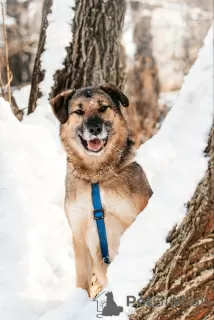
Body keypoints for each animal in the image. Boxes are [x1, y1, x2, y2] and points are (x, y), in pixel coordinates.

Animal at [50, 82, 152, 296]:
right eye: (79, 111)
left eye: (103, 107)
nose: (95, 128)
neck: (96, 176)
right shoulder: (79, 234)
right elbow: (82, 280)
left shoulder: (131, 217)